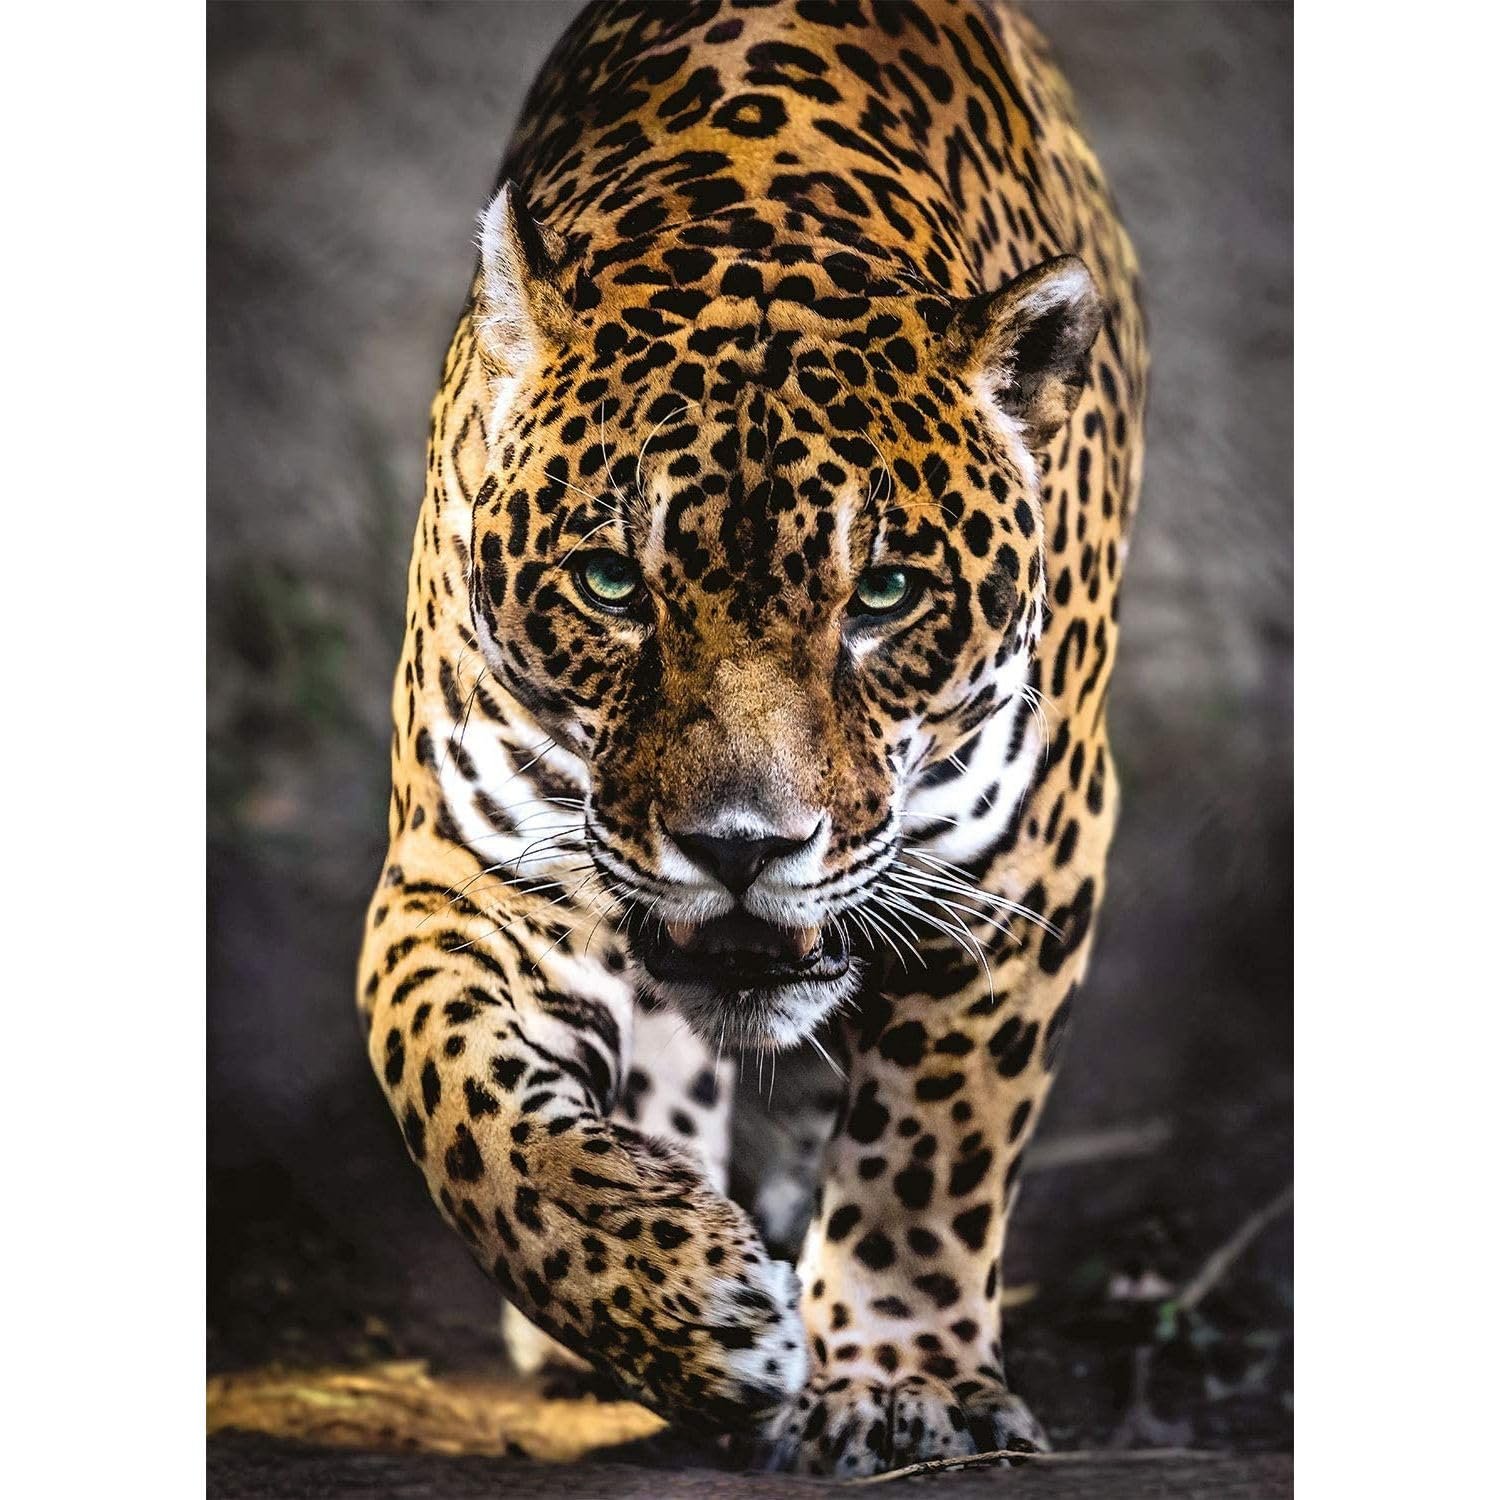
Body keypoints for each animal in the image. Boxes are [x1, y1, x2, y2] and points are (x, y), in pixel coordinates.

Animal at [357, 0, 1146, 1476]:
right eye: (613, 584)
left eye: (884, 594)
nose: (740, 848)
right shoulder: (465, 871)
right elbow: (461, 1104)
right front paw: (679, 1303)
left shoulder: (1021, 865)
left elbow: (933, 1146)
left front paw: (900, 1382)